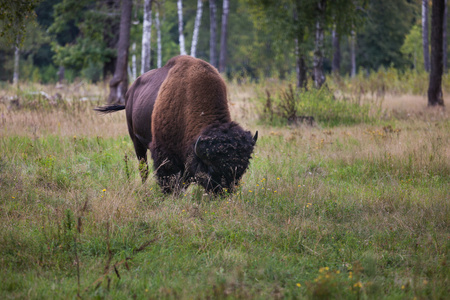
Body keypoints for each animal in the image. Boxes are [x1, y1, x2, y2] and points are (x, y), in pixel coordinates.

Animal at [96, 55, 256, 195]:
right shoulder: (164, 151)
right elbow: (169, 178)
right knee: (143, 168)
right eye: (212, 169)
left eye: (241, 169)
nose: (223, 193)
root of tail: (130, 91)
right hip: (136, 141)